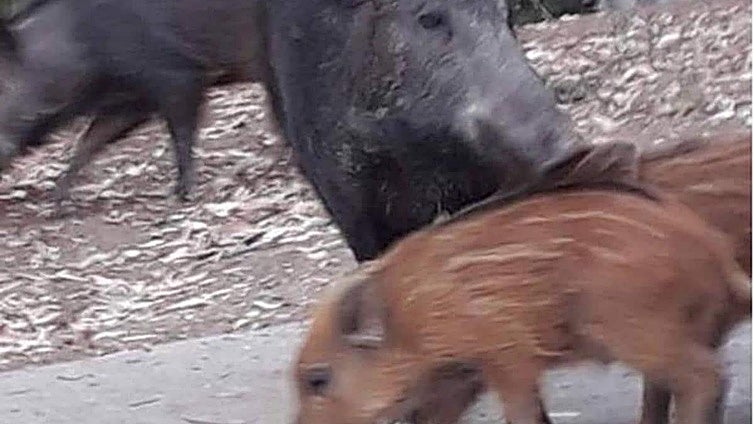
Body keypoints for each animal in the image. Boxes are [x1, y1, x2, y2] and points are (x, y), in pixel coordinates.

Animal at [293, 180, 751, 424]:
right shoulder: (460, 376)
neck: (408, 316)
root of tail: (720, 258)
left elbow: (523, 412)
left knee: (705, 377)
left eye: (318, 379)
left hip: (636, 328)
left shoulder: (504, 354)